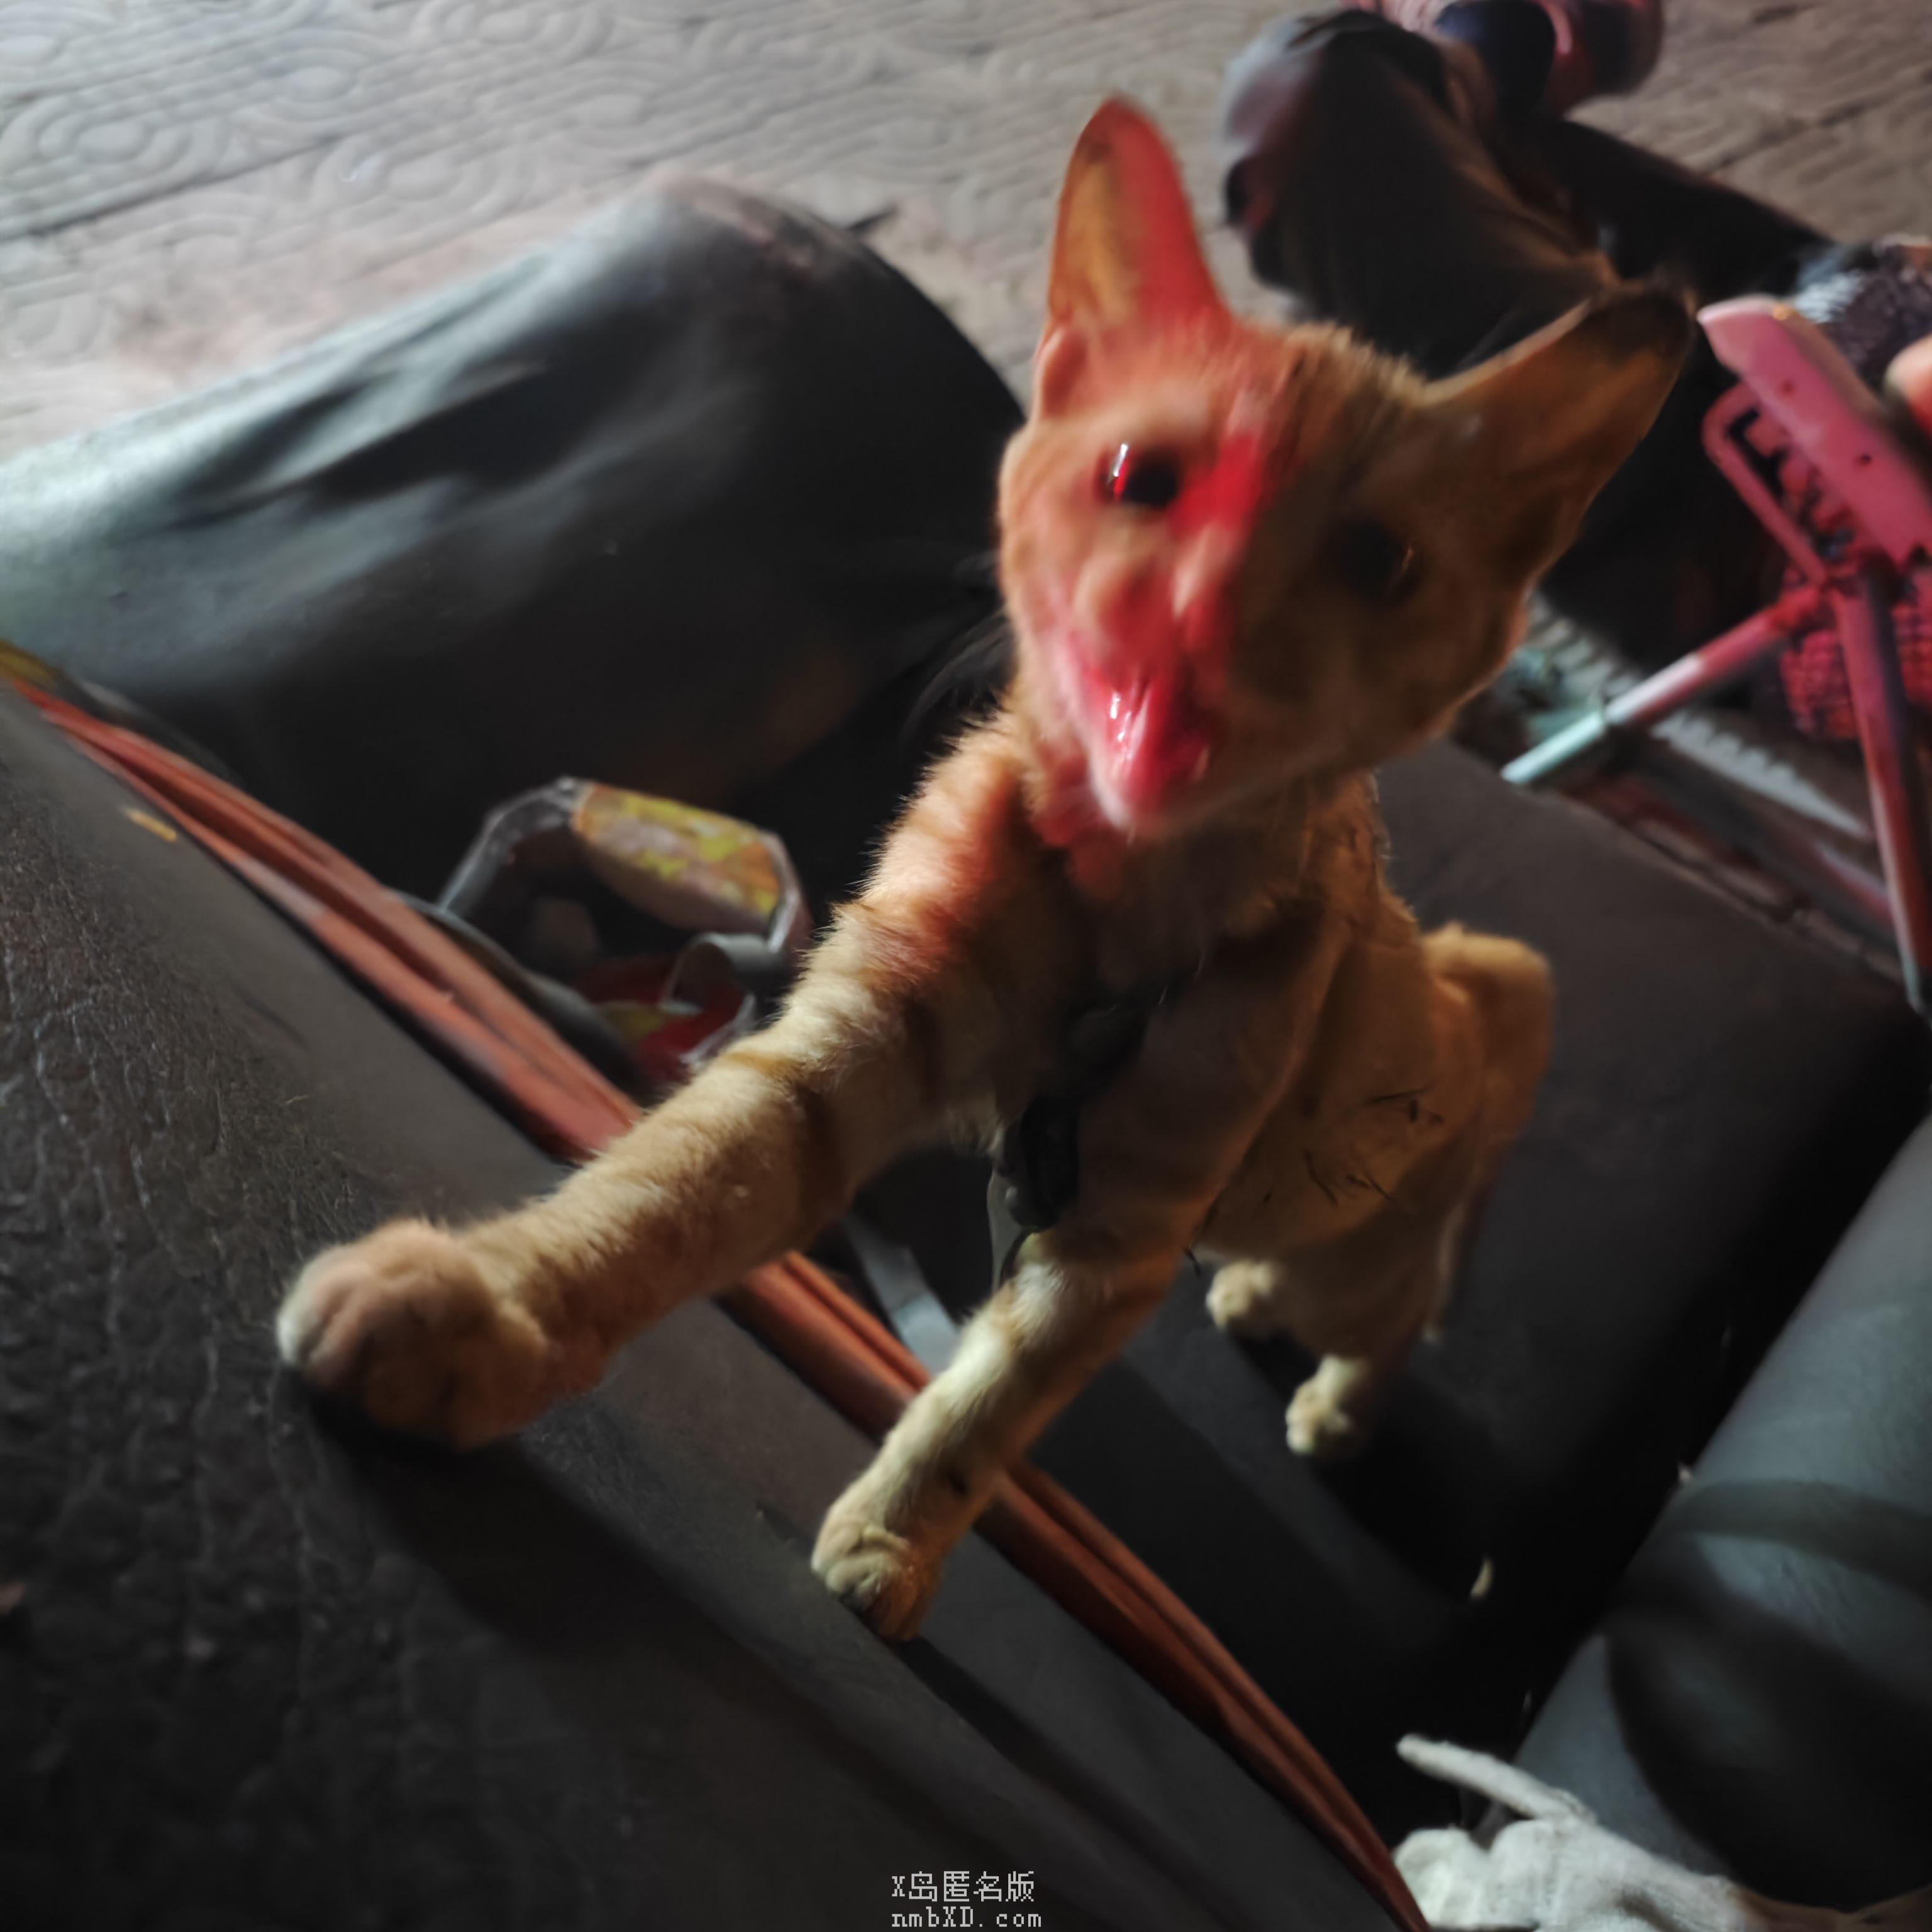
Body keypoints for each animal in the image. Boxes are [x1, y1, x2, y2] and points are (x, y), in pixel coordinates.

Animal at [278, 98, 1689, 1640]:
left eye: (1375, 558)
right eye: (1144, 481)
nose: (1193, 612)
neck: (1121, 907)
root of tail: (1468, 991)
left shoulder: (1116, 1238)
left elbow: (990, 1404)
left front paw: (898, 1535)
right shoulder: (840, 1052)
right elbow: (668, 1192)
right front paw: (494, 1314)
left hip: (1364, 1238)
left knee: (1390, 1317)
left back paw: (1331, 1392)